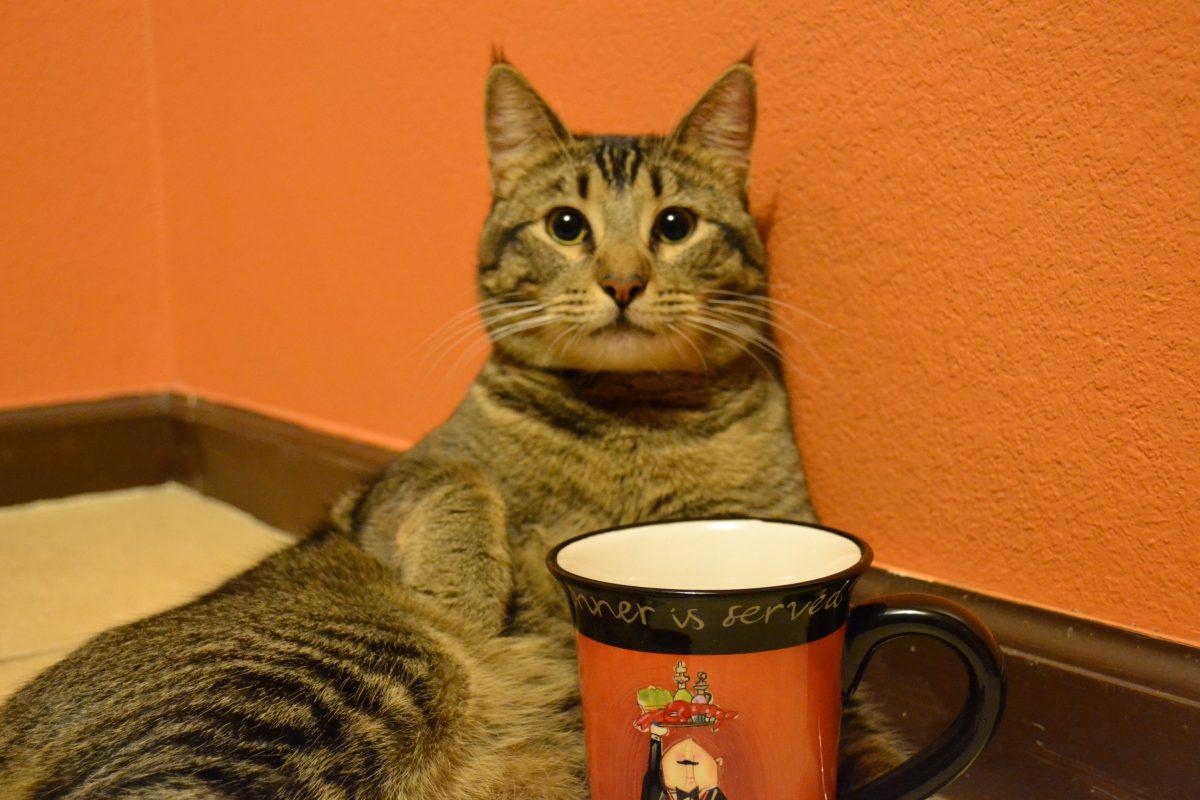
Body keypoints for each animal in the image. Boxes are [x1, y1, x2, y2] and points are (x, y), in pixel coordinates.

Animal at [0, 57, 902, 800]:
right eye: (566, 225)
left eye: (675, 225)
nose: (622, 282)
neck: (629, 419)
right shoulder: (390, 487)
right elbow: (459, 480)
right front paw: (465, 592)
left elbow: (867, 729)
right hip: (331, 678)